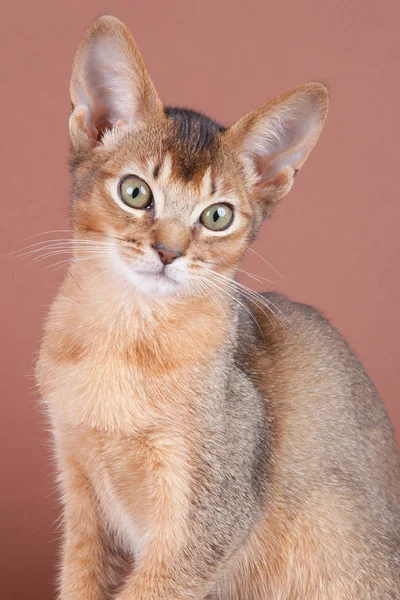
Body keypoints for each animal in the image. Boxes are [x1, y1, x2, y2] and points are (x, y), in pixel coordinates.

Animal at [35, 14, 400, 600]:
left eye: (217, 216)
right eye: (135, 192)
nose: (168, 252)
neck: (124, 341)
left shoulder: (203, 525)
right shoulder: (83, 496)